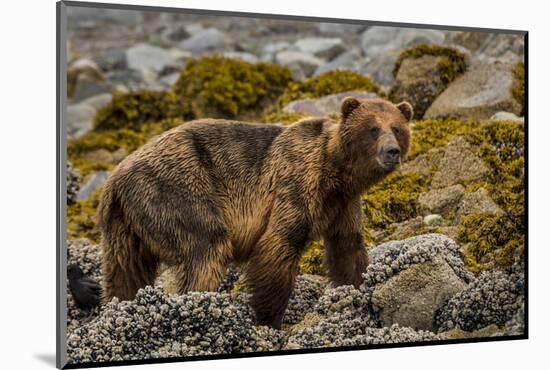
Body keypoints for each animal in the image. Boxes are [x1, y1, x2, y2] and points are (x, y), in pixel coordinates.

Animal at [97, 97, 412, 328]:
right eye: (372, 128)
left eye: (397, 128)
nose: (391, 151)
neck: (335, 173)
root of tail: (115, 179)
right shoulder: (295, 185)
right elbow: (278, 246)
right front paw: (269, 319)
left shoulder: (342, 206)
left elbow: (348, 249)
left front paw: (359, 291)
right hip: (178, 190)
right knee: (207, 249)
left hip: (124, 226)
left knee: (125, 272)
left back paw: (119, 307)